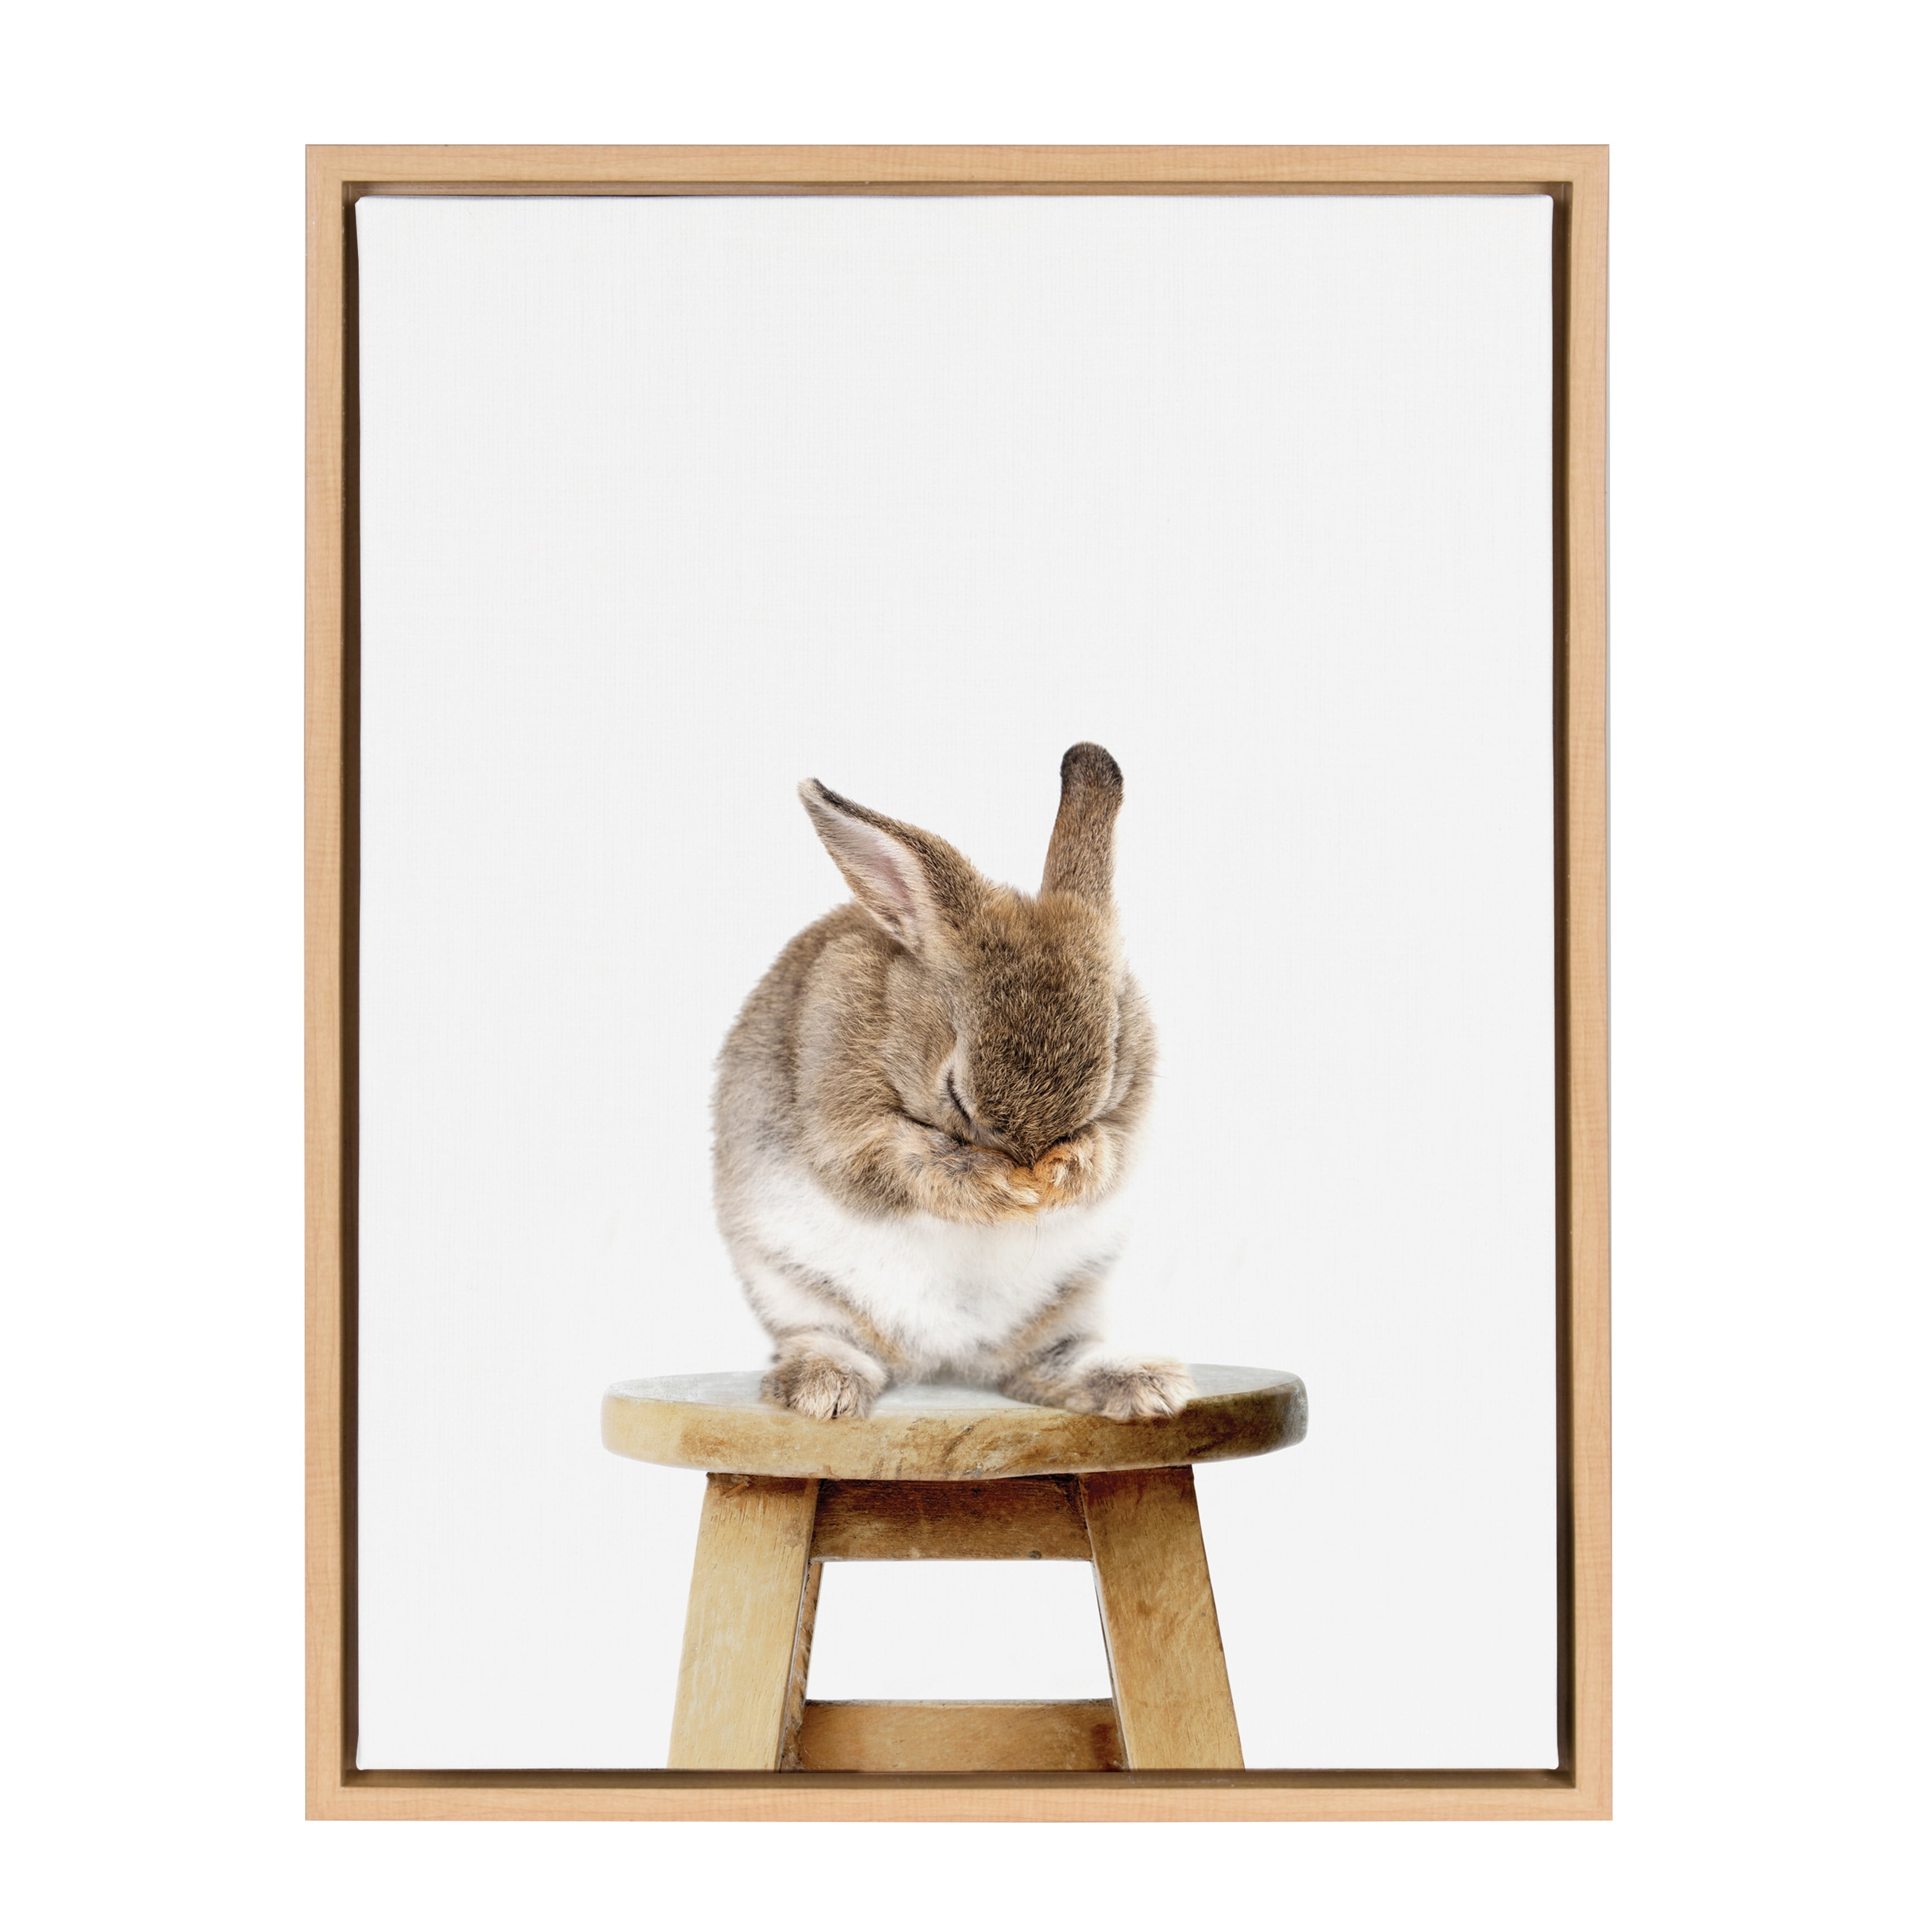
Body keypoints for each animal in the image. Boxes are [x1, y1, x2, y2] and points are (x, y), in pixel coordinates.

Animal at [712, 742, 1193, 1423]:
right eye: (955, 1095)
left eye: (1103, 1086)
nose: (1031, 1167)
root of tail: (945, 1359)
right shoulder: (844, 1124)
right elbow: (910, 1163)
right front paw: (1003, 1188)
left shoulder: (1131, 1117)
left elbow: (1111, 1152)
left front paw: (1065, 1173)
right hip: (795, 1289)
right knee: (830, 1340)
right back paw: (824, 1389)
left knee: (1046, 1366)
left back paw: (1146, 1385)